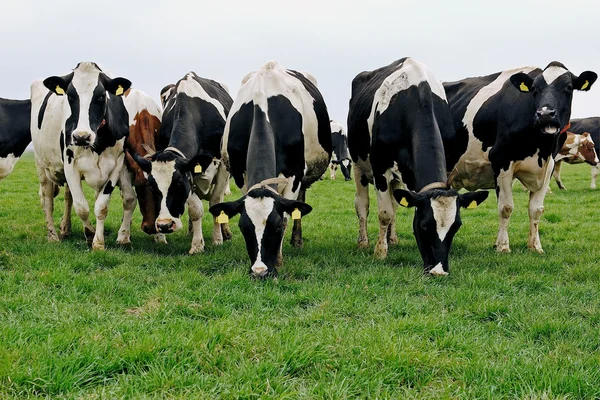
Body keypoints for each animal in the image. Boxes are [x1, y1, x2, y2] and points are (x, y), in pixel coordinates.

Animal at [31, 61, 134, 248]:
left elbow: (101, 206)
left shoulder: (116, 165)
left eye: (101, 96)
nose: (81, 137)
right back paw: (53, 235)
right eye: (70, 97)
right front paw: (90, 233)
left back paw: (65, 228)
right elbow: (82, 207)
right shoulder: (70, 165)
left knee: (67, 196)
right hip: (41, 164)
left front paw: (98, 243)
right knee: (47, 200)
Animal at [132, 71, 233, 253]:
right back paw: (192, 230)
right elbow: (195, 209)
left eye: (178, 183)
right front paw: (197, 244)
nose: (164, 225)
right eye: (152, 186)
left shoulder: (222, 165)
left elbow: (216, 202)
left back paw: (225, 232)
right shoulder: (190, 171)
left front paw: (217, 239)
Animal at [207, 60, 330, 278]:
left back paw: (297, 240)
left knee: (300, 201)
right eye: (243, 228)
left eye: (277, 226)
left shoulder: (295, 175)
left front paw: (279, 260)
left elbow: (289, 214)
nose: (259, 271)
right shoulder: (240, 175)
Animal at [346, 56, 488, 276]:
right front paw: (380, 252)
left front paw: (387, 242)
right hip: (357, 165)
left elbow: (395, 208)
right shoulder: (380, 169)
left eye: (456, 226)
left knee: (395, 203)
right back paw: (364, 242)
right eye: (424, 225)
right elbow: (384, 213)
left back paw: (392, 239)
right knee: (362, 204)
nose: (438, 271)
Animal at [442, 61, 596, 253]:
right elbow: (506, 207)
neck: (541, 147)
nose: (545, 114)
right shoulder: (501, 161)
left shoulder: (549, 167)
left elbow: (536, 209)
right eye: (535, 89)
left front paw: (535, 246)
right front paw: (502, 246)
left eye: (568, 87)